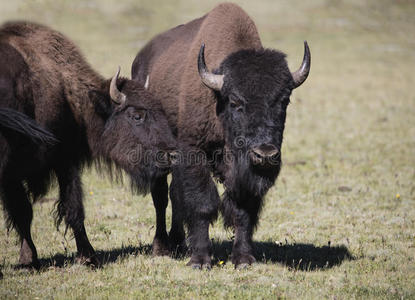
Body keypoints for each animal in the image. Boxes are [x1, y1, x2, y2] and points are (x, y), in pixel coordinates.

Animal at [0, 21, 177, 270]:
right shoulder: (64, 160)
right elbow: (72, 208)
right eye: (136, 115)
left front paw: (28, 260)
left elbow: (23, 212)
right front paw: (89, 257)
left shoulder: (13, 176)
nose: (172, 155)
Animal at [132, 2, 310, 270]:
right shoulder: (193, 152)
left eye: (284, 100)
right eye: (235, 102)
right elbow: (202, 203)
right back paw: (162, 248)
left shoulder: (243, 176)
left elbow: (243, 209)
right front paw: (200, 260)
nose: (265, 154)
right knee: (161, 196)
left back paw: (178, 242)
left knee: (174, 195)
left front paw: (243, 259)